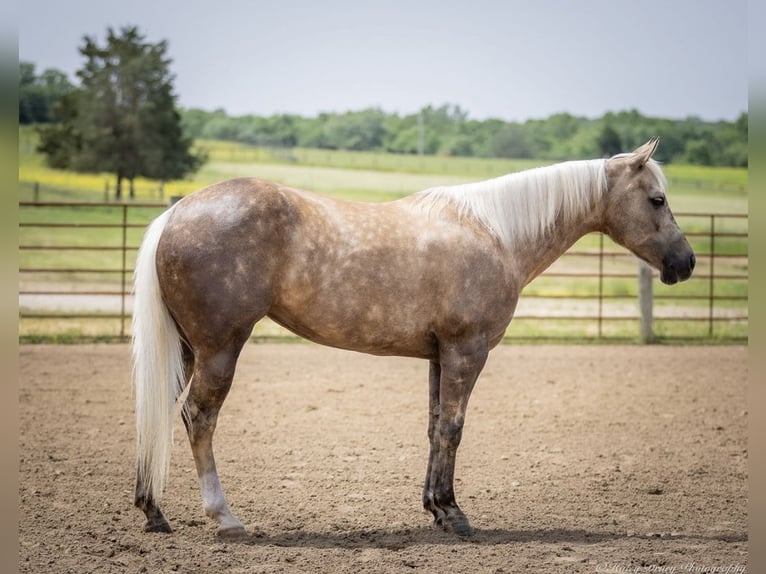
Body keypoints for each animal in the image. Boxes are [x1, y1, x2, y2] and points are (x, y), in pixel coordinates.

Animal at [132, 138, 695, 538]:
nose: (686, 262)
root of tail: (175, 213)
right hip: (219, 349)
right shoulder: (468, 351)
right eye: (657, 199)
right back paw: (225, 518)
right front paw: (453, 513)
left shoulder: (439, 355)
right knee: (199, 417)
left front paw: (435, 509)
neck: (496, 234)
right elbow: (453, 428)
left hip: (188, 351)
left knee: (159, 411)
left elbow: (432, 427)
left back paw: (153, 512)